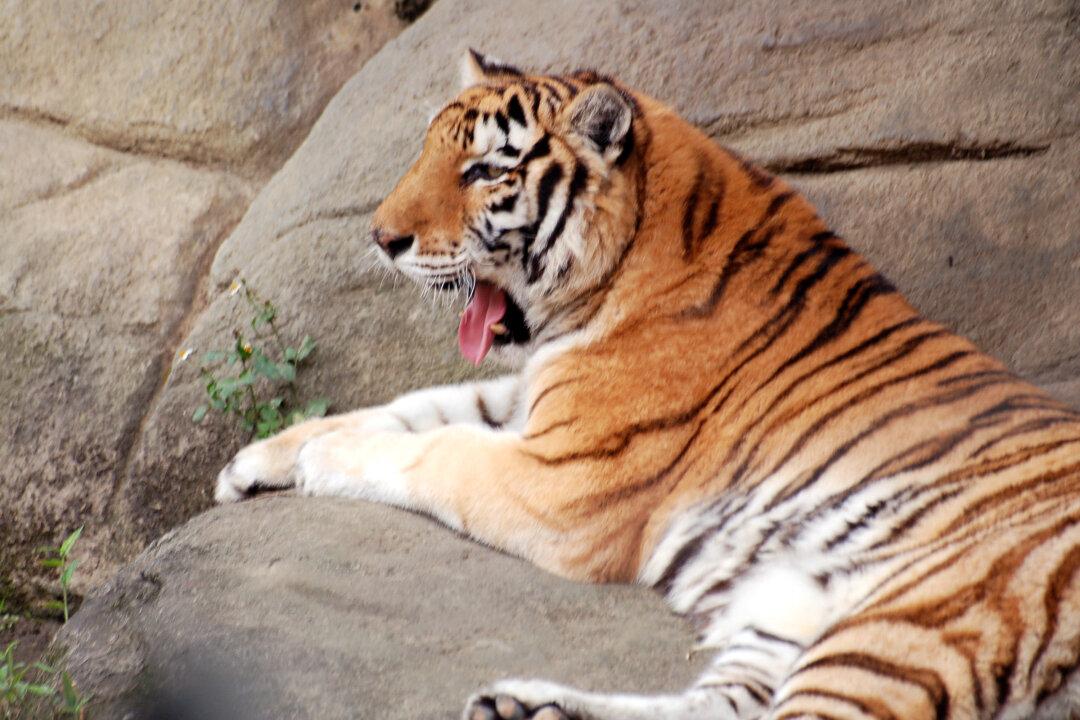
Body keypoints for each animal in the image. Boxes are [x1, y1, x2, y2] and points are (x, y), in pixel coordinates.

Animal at [215, 50, 1080, 720]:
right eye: (427, 153)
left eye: (484, 170)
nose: (379, 238)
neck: (611, 273)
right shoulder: (530, 400)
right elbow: (408, 409)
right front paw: (255, 461)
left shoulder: (563, 479)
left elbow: (434, 451)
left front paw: (321, 459)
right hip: (794, 606)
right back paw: (529, 706)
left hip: (920, 619)